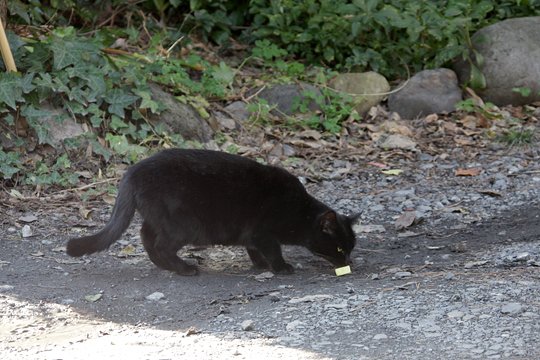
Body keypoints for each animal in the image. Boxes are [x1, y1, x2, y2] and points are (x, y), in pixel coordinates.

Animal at [67, 149, 358, 276]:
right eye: (339, 248)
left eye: (350, 248)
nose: (348, 261)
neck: (299, 212)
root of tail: (132, 171)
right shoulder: (263, 232)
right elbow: (272, 249)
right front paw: (280, 267)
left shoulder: (251, 234)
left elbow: (253, 249)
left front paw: (260, 264)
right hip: (185, 225)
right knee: (160, 244)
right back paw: (185, 269)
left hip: (158, 218)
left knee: (146, 237)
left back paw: (167, 266)